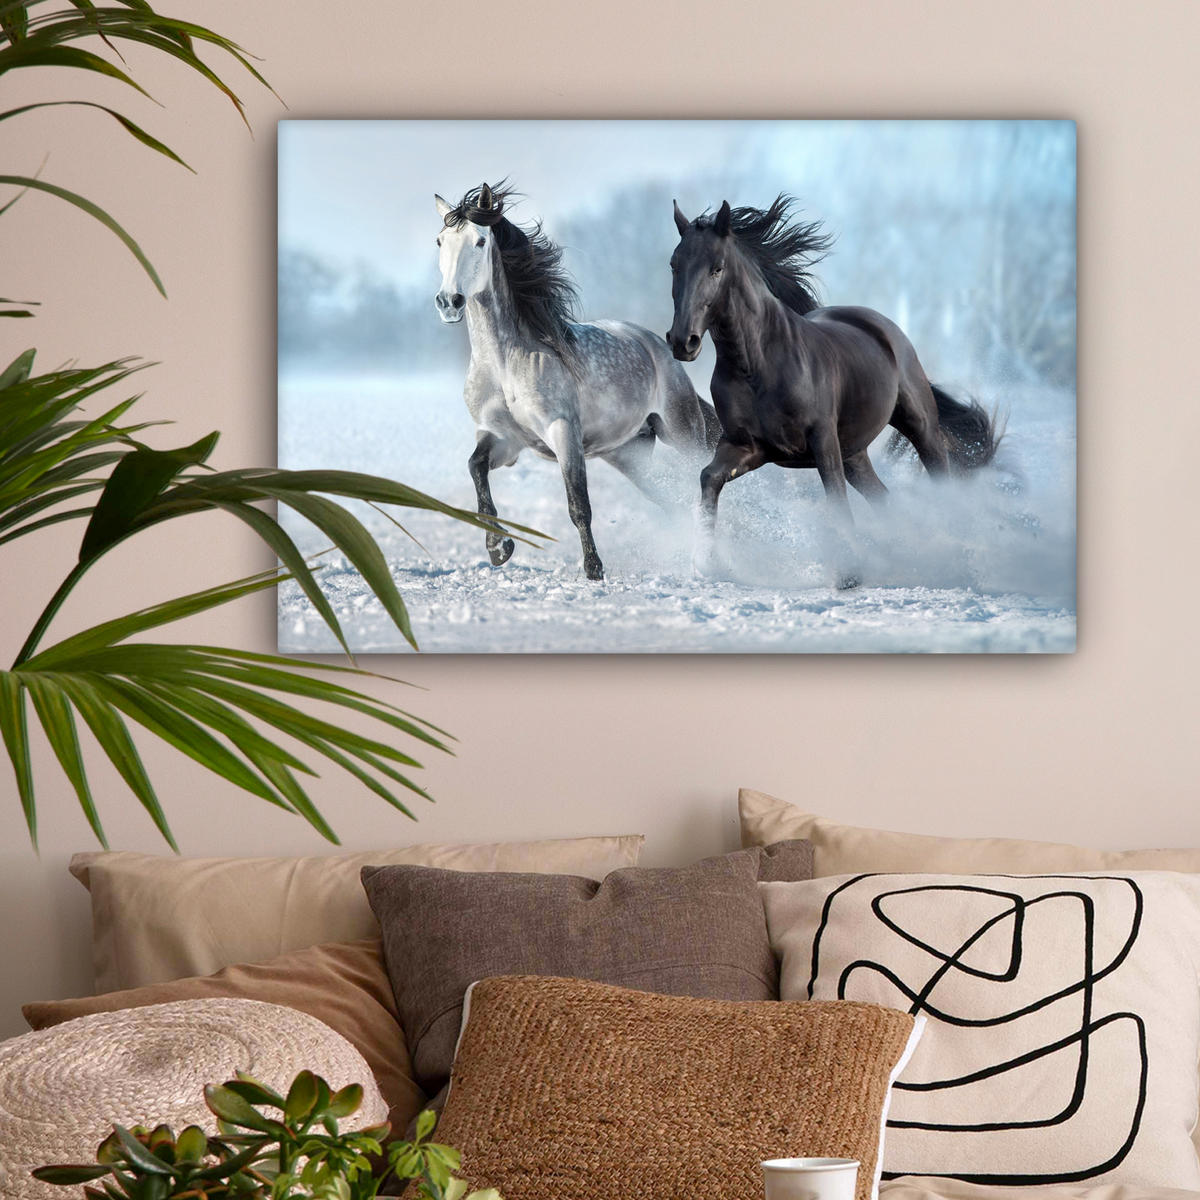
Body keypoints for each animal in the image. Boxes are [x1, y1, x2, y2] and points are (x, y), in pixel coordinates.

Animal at [434, 182, 720, 581]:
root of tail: (658, 346)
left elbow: (578, 504)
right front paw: (499, 548)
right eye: (440, 241)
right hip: (629, 454)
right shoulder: (502, 438)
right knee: (671, 500)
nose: (449, 302)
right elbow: (475, 468)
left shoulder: (563, 431)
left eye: (479, 240)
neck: (505, 364)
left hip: (683, 433)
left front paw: (593, 569)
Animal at [666, 195, 999, 587]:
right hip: (855, 453)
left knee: (939, 476)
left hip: (919, 426)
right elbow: (709, 478)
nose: (683, 341)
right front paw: (708, 563)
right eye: (674, 265)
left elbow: (835, 499)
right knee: (883, 499)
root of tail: (882, 326)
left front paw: (849, 574)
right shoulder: (746, 446)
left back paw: (955, 559)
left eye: (717, 269)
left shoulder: (822, 441)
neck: (758, 365)